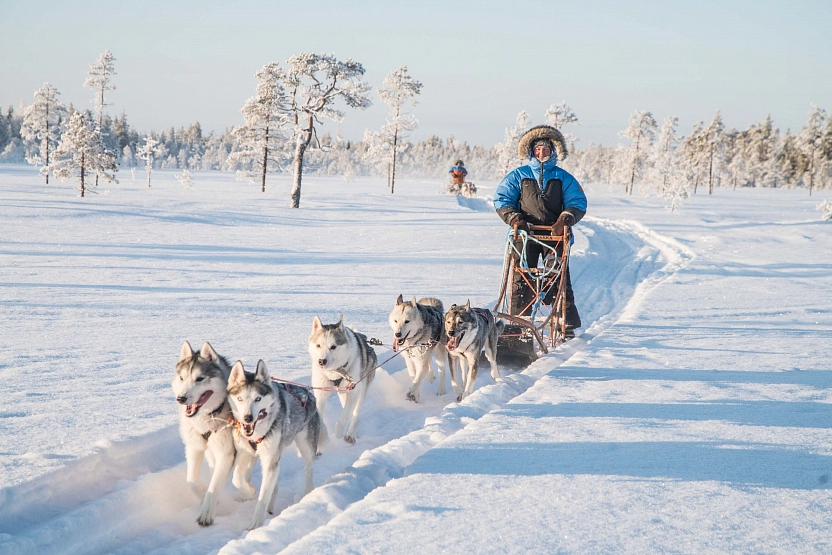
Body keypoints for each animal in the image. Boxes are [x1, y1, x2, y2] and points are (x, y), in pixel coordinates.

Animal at [174, 340, 252, 528]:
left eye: (200, 378)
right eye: (182, 378)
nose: (181, 398)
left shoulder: (226, 454)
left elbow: (215, 486)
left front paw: (206, 513)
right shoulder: (194, 448)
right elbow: (192, 481)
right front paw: (204, 495)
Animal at [226, 360, 324, 528]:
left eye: (258, 399)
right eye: (240, 399)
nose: (247, 418)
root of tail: (308, 394)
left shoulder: (269, 459)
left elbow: (262, 498)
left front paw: (255, 525)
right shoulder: (244, 453)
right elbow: (237, 478)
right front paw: (249, 491)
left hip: (306, 447)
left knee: (308, 469)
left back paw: (307, 493)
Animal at [308, 314, 376, 446]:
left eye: (333, 347)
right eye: (318, 345)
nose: (321, 361)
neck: (334, 372)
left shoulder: (353, 391)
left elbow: (345, 415)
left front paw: (340, 430)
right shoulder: (321, 393)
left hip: (361, 389)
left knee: (354, 414)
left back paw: (350, 434)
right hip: (342, 392)